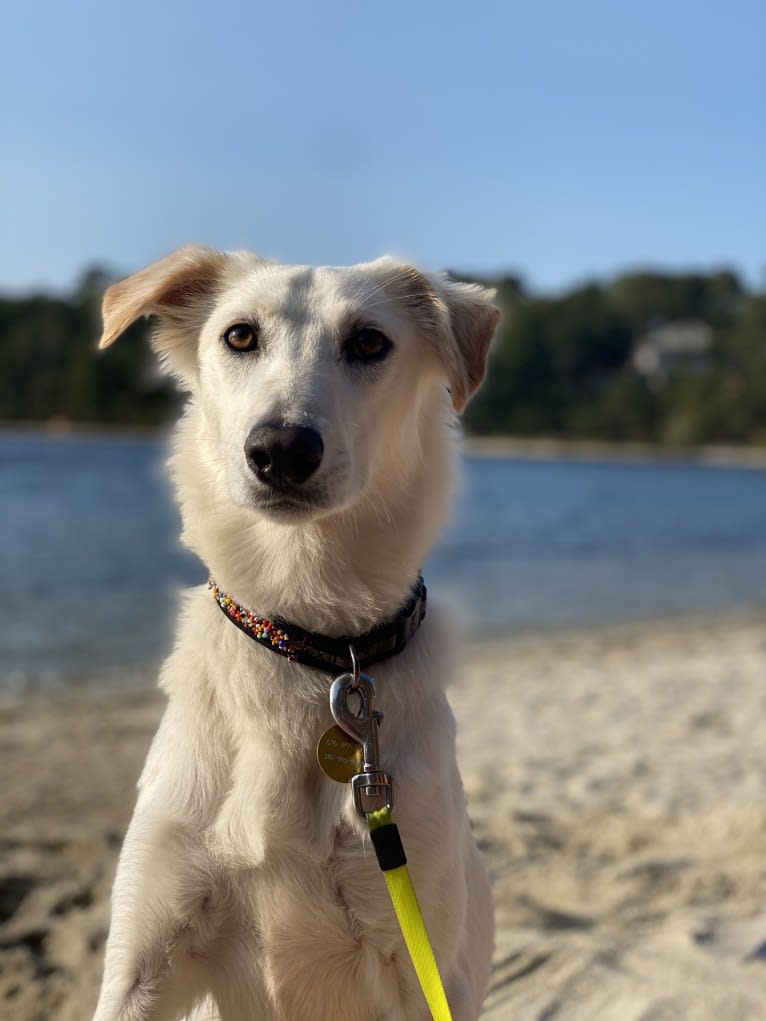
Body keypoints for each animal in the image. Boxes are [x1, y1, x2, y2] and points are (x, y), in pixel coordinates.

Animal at [92, 249, 500, 1021]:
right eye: (240, 335)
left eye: (369, 341)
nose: (280, 448)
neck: (310, 634)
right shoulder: (143, 956)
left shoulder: (423, 962)